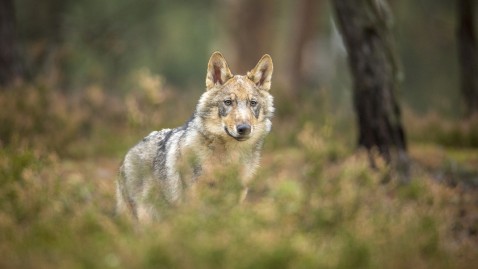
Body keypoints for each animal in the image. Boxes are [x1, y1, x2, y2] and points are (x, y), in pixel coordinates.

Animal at [115, 51, 272, 221]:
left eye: (253, 103)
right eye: (228, 102)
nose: (244, 128)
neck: (228, 160)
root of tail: (127, 155)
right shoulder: (194, 206)